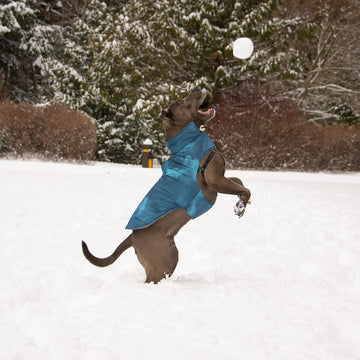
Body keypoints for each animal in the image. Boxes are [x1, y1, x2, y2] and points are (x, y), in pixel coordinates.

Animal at [81, 88, 250, 284]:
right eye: (182, 101)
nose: (196, 88)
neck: (189, 139)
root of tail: (132, 236)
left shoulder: (221, 179)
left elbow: (239, 181)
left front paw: (241, 203)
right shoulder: (214, 182)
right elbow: (244, 188)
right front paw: (241, 205)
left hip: (171, 256)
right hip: (159, 262)